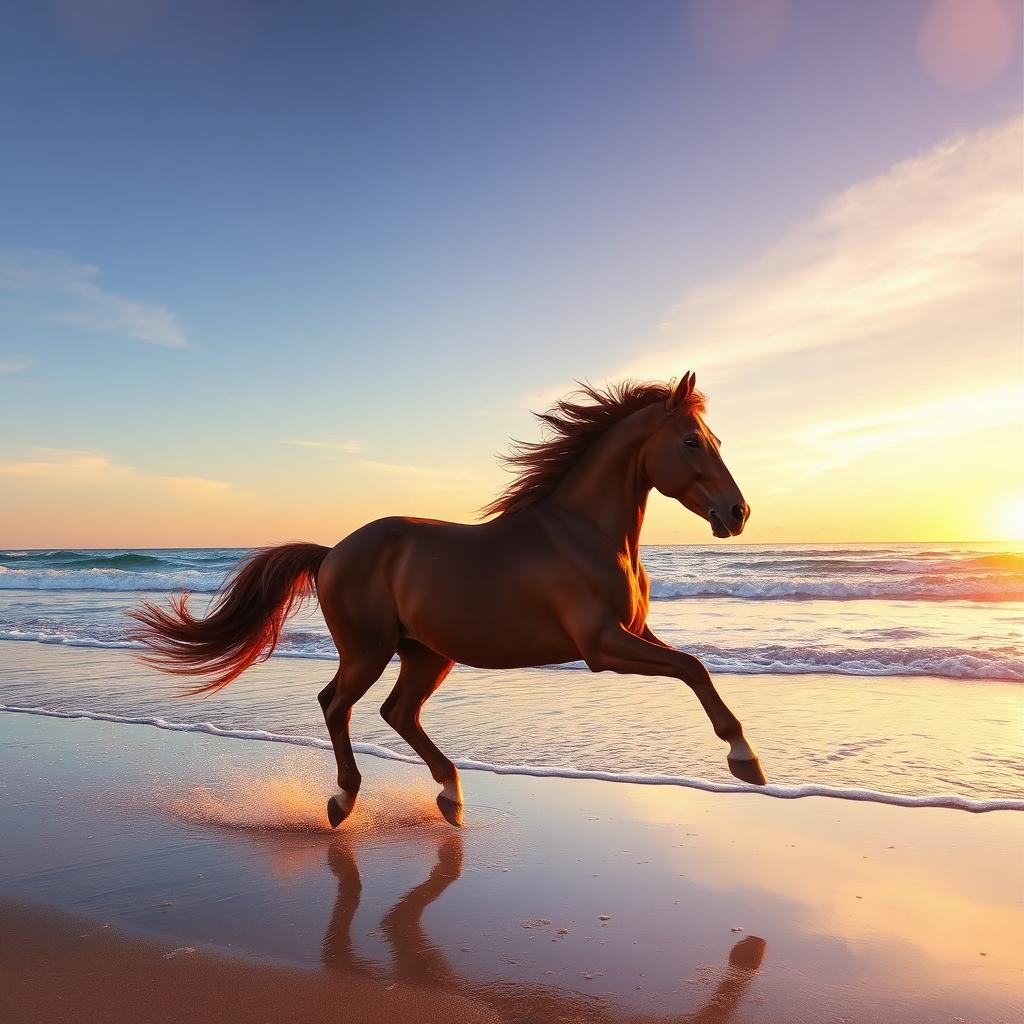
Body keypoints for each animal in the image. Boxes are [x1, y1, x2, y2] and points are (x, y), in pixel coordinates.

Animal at [129, 372, 764, 829]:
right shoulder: (601, 646)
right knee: (338, 705)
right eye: (691, 441)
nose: (738, 513)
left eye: (717, 441)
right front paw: (745, 760)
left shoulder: (634, 633)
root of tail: (334, 551)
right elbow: (692, 666)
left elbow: (693, 666)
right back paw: (344, 800)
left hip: (428, 653)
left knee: (397, 712)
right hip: (369, 650)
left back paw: (451, 795)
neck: (583, 533)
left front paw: (746, 757)